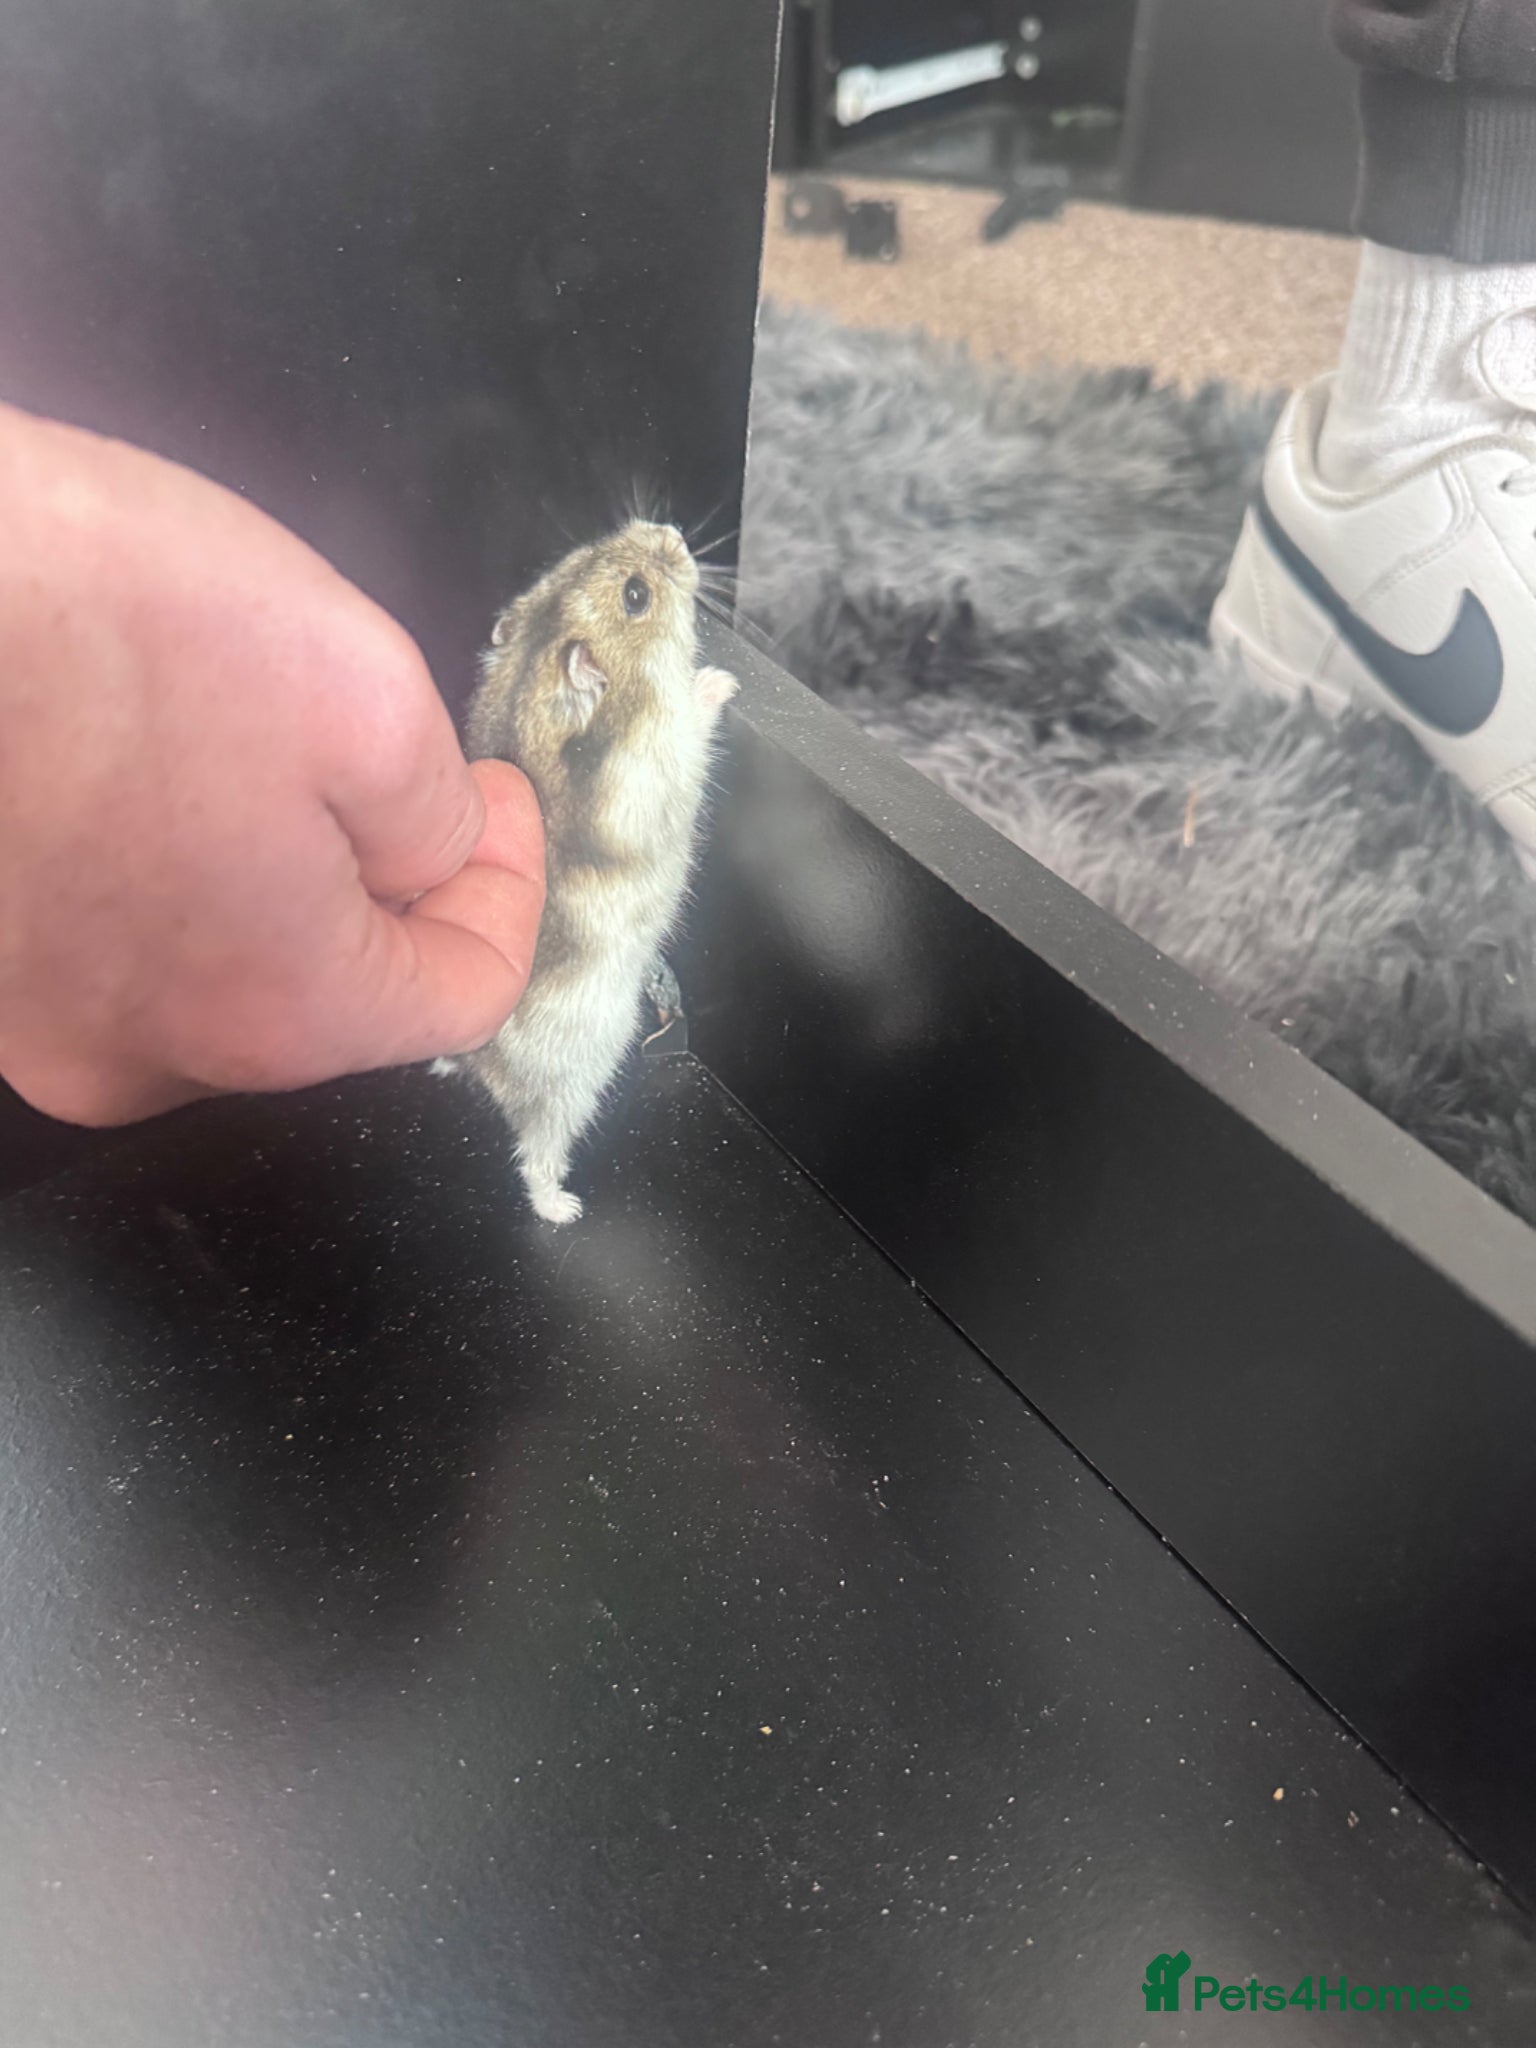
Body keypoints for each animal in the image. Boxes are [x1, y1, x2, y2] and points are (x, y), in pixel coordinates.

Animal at [459, 520, 737, 1224]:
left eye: (580, 553)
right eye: (636, 596)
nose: (670, 534)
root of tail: (477, 1065)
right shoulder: (661, 761)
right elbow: (691, 721)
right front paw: (720, 680)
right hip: (576, 1082)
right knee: (535, 1154)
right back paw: (564, 1209)